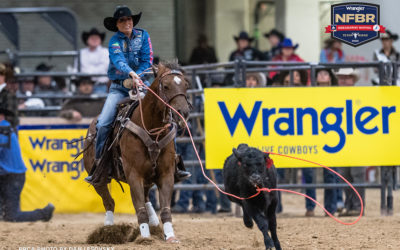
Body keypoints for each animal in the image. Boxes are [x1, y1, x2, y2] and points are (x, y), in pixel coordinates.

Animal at [82, 62, 191, 242]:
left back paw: (154, 223)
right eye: (166, 86)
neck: (150, 129)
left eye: (186, 85)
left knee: (146, 198)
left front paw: (170, 236)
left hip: (147, 178)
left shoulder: (166, 174)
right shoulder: (134, 174)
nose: (182, 113)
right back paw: (108, 229)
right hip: (100, 179)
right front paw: (145, 238)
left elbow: (165, 209)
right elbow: (139, 209)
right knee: (109, 202)